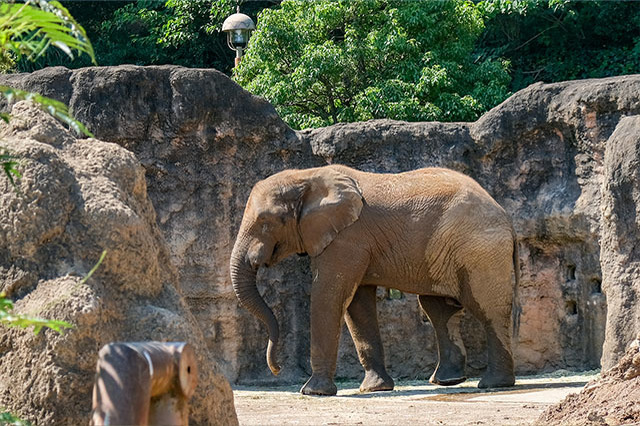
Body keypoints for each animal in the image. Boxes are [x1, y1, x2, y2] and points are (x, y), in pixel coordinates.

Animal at [230, 164, 520, 396]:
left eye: (265, 222)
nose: (276, 369)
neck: (306, 176)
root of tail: (506, 216)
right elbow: (357, 305)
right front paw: (374, 388)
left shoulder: (347, 237)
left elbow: (329, 294)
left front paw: (313, 392)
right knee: (438, 309)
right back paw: (447, 381)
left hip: (480, 249)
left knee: (487, 309)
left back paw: (493, 384)